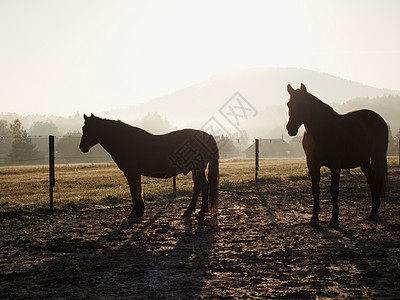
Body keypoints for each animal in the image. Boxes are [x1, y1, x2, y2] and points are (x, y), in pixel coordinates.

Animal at [79, 113, 219, 219]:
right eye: (83, 129)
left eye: (89, 129)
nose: (82, 147)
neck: (126, 140)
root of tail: (208, 136)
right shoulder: (136, 173)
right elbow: (138, 190)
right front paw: (140, 210)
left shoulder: (130, 172)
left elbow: (134, 191)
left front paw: (134, 212)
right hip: (196, 170)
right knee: (201, 186)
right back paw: (198, 210)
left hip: (197, 169)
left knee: (201, 186)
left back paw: (195, 211)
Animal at [286, 83, 390, 226]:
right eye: (289, 104)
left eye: (303, 104)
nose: (290, 128)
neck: (322, 131)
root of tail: (379, 118)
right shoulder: (312, 164)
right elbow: (315, 190)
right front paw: (314, 217)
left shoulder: (335, 165)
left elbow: (334, 190)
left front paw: (334, 218)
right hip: (364, 161)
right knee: (372, 180)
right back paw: (373, 210)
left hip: (378, 156)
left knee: (377, 179)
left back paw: (374, 212)